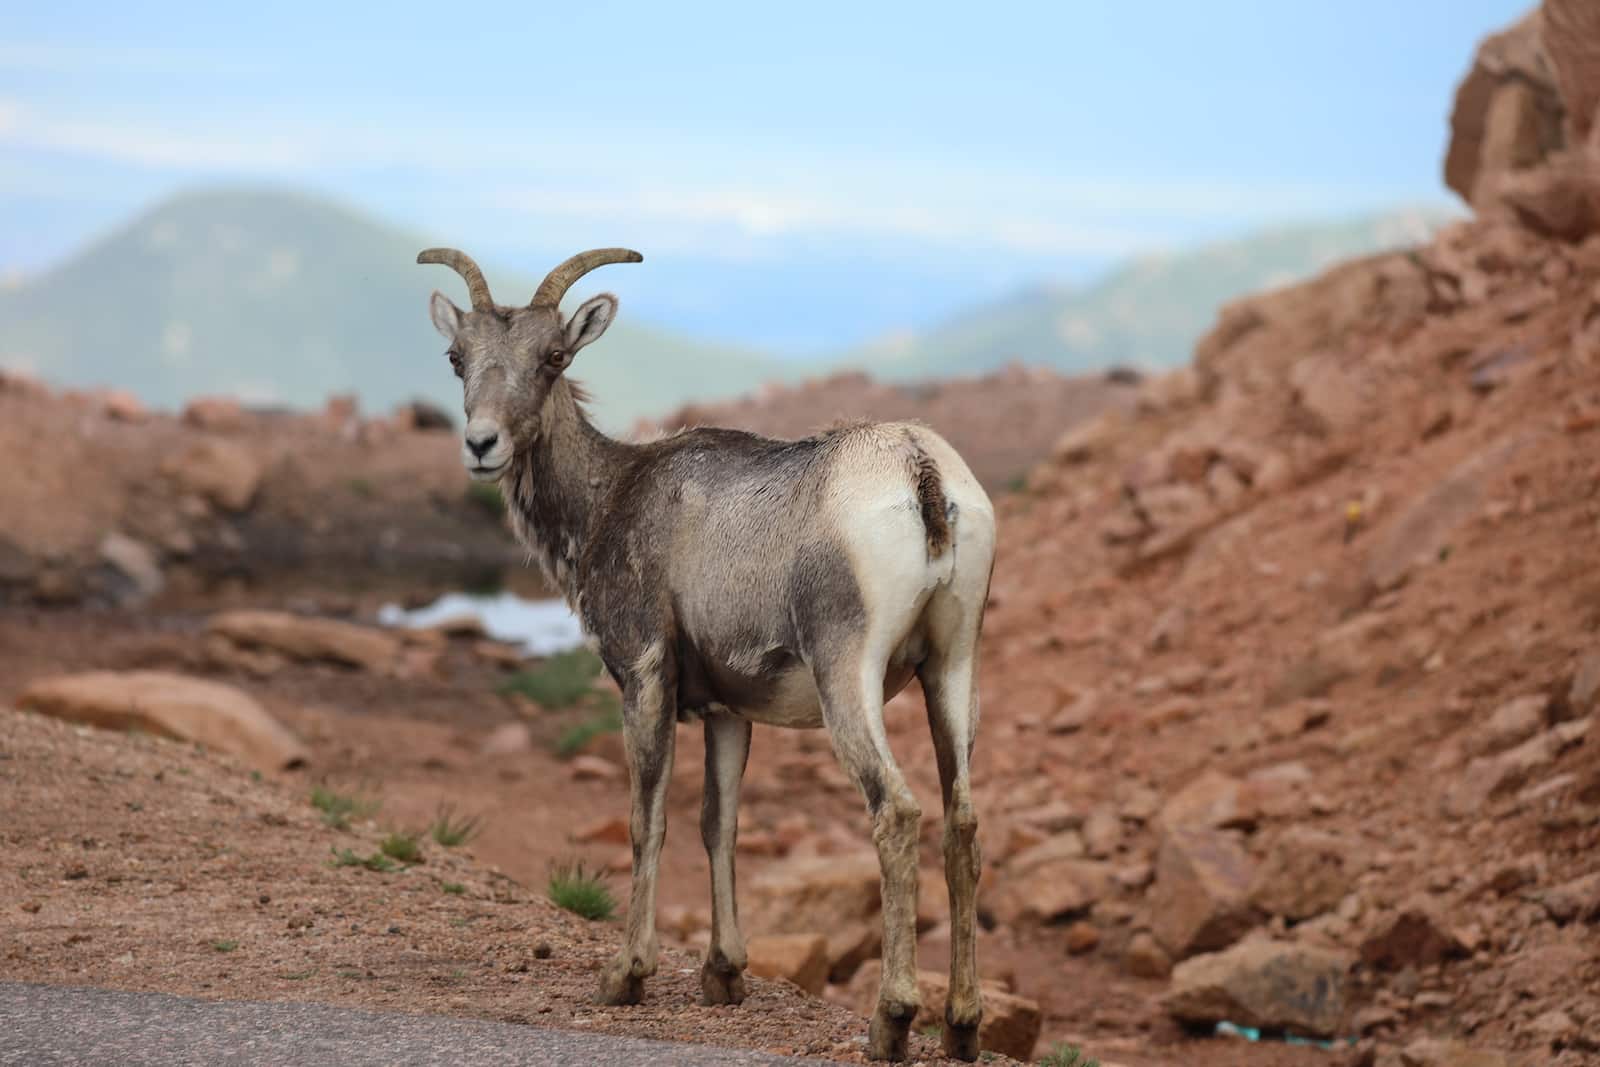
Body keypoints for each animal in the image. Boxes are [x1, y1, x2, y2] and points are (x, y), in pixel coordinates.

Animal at [422, 247, 998, 1062]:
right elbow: (717, 823)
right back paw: (962, 1025)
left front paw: (625, 976)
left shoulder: (644, 676)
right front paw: (723, 975)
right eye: (458, 357)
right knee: (962, 823)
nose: (482, 444)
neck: (610, 499)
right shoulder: (731, 713)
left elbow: (649, 818)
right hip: (952, 671)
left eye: (553, 357)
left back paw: (889, 1021)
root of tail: (921, 472)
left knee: (897, 810)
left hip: (846, 679)